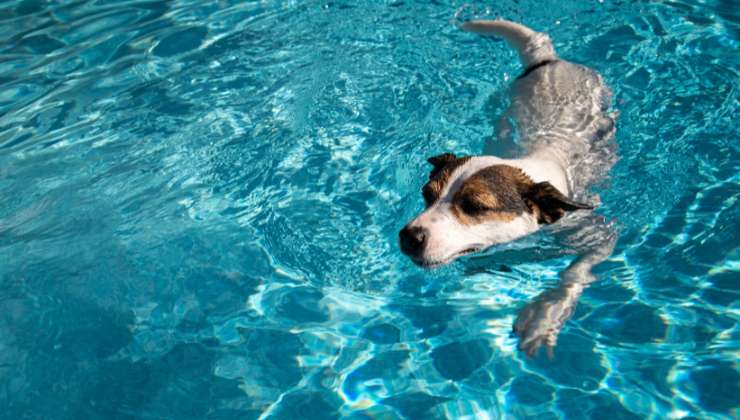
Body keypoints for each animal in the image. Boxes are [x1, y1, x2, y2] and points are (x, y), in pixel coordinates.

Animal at [398, 19, 620, 358]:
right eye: (426, 195)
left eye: (475, 206)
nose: (409, 236)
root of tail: (548, 60)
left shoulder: (597, 233)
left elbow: (575, 272)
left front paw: (543, 315)